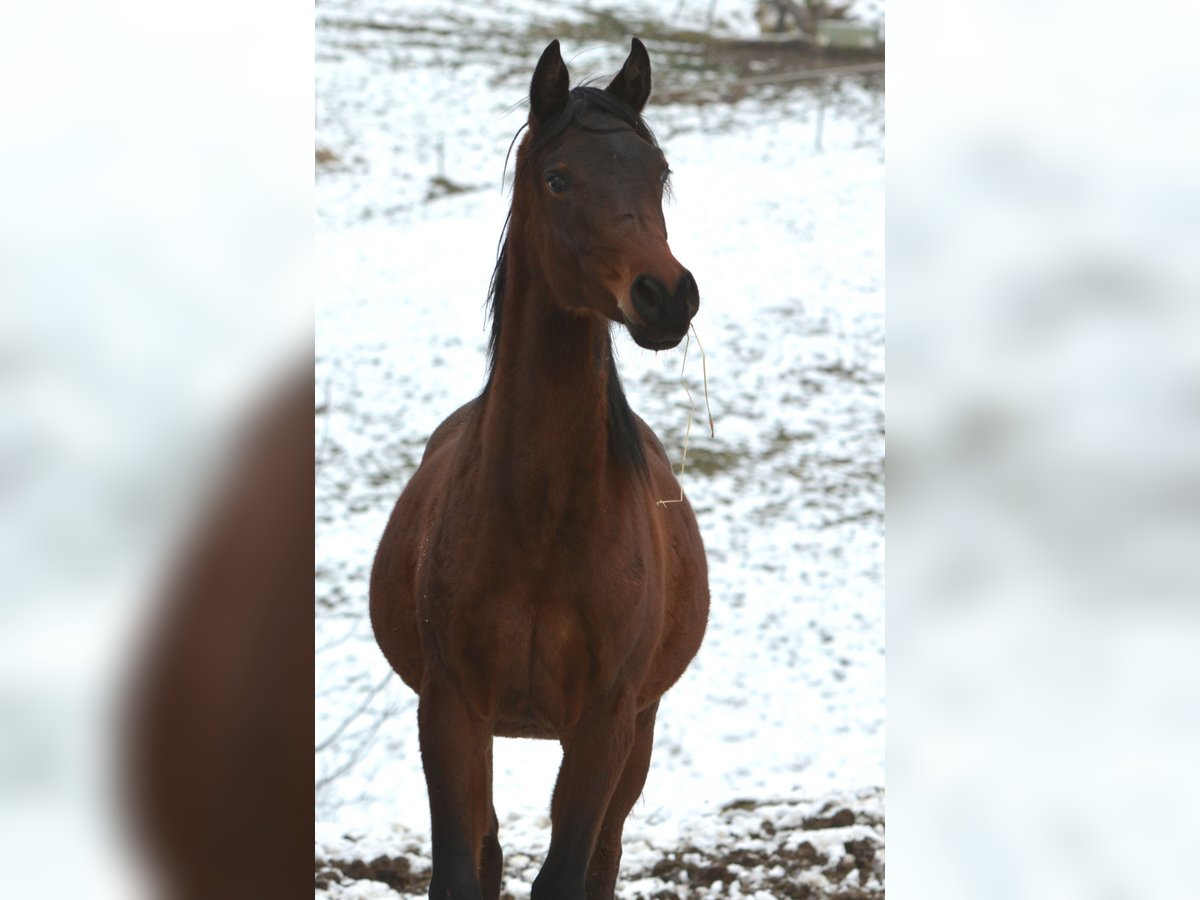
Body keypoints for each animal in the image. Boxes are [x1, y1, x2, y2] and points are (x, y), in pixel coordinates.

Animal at [364, 37, 700, 900]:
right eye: (559, 179)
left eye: (659, 172)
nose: (667, 297)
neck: (542, 525)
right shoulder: (451, 711)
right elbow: (460, 869)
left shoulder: (607, 723)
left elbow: (570, 870)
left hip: (639, 733)